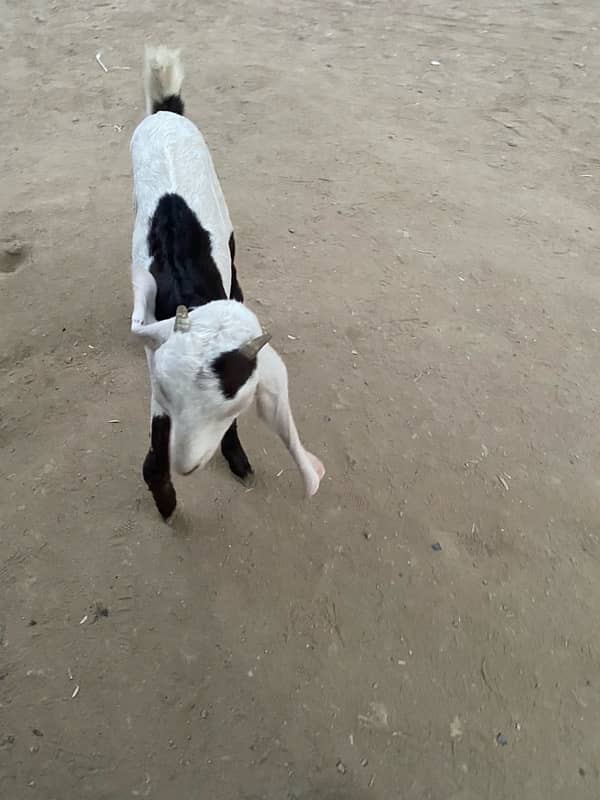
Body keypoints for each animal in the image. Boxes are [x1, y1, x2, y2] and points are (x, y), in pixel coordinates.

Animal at [129, 47, 326, 520]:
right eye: (167, 390)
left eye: (232, 404)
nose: (185, 464)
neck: (187, 285)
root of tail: (166, 111)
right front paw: (164, 496)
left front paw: (235, 458)